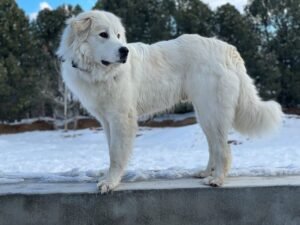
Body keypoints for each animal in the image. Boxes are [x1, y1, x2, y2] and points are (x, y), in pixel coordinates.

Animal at [57, 10, 282, 193]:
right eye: (103, 34)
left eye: (118, 35)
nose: (124, 51)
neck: (98, 72)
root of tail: (227, 49)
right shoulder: (107, 121)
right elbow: (111, 149)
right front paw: (108, 177)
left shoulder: (121, 118)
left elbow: (116, 153)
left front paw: (110, 182)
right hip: (204, 113)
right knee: (214, 146)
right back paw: (205, 172)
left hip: (212, 111)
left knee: (224, 149)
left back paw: (217, 179)